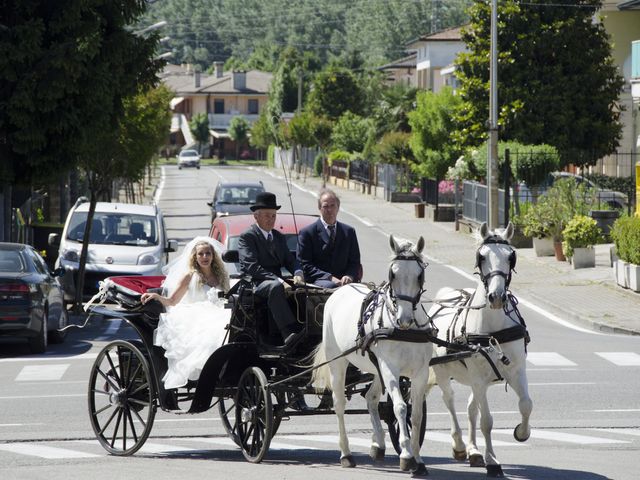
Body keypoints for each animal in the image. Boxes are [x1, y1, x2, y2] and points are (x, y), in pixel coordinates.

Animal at [312, 234, 432, 474]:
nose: (404, 319)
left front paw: (418, 459)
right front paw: (407, 456)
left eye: (420, 275)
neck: (405, 330)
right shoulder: (390, 369)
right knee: (339, 404)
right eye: (392, 274)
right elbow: (400, 407)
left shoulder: (420, 372)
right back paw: (346, 454)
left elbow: (415, 414)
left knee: (371, 398)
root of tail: (341, 288)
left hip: (376, 369)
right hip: (338, 363)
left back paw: (378, 445)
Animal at [428, 223, 532, 478]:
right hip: (447, 374)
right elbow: (487, 421)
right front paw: (492, 461)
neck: (493, 332)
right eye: (481, 256)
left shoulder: (516, 371)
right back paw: (459, 446)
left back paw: (474, 451)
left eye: (511, 256)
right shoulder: (479, 379)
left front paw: (521, 432)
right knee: (450, 400)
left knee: (470, 408)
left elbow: (526, 405)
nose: (496, 297)